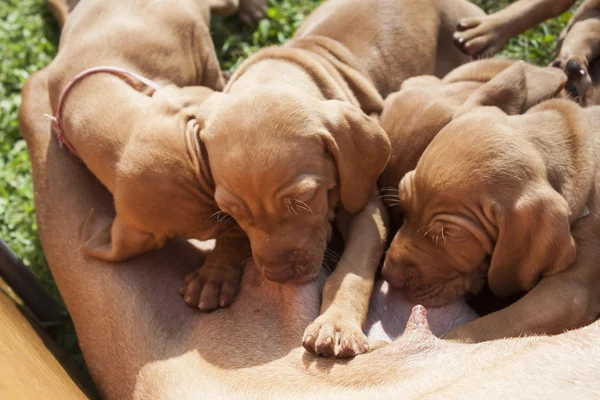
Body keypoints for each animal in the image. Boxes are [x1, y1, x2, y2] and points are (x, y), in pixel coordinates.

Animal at [182, 0, 485, 358]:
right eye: (232, 211)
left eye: (304, 199)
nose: (277, 275)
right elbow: (229, 234)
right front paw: (214, 271)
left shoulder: (366, 206)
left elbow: (351, 270)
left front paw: (337, 324)